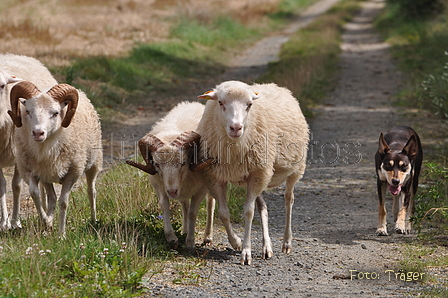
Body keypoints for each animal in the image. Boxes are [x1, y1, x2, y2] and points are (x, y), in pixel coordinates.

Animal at [0, 54, 58, 230]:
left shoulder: (20, 154)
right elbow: (2, 185)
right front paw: (4, 222)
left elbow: (16, 186)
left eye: (2, 86)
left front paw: (15, 221)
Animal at [8, 79, 103, 237]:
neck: (45, 148)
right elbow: (34, 193)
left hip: (94, 163)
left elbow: (63, 202)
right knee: (51, 198)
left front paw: (62, 235)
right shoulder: (31, 171)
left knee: (92, 191)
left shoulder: (72, 173)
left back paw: (94, 219)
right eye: (27, 111)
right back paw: (48, 224)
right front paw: (46, 221)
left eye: (55, 113)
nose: (38, 133)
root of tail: (82, 92)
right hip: (46, 176)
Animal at [126, 102, 219, 249]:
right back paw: (185, 230)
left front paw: (190, 242)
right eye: (157, 164)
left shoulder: (201, 189)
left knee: (211, 204)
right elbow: (165, 206)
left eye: (183, 162)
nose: (172, 191)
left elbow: (193, 212)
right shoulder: (159, 186)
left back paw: (207, 237)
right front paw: (171, 237)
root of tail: (195, 103)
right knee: (185, 205)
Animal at [194, 80, 310, 264]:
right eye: (220, 102)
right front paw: (236, 242)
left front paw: (246, 251)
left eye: (249, 105)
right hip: (260, 176)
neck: (233, 148)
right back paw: (267, 247)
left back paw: (287, 242)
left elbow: (248, 212)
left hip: (294, 169)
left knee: (288, 200)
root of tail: (276, 85)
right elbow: (223, 213)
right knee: (263, 206)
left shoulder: (258, 173)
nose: (236, 128)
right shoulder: (215, 176)